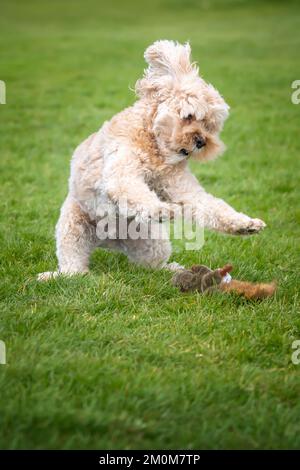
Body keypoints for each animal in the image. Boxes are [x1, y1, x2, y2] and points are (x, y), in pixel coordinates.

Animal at [37, 40, 264, 280]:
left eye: (209, 125)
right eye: (189, 116)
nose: (201, 141)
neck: (155, 148)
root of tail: (108, 240)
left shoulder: (182, 188)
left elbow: (210, 206)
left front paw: (246, 224)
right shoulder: (121, 171)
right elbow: (135, 192)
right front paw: (163, 210)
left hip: (152, 242)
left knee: (153, 265)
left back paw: (174, 270)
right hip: (73, 229)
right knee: (73, 267)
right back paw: (59, 275)